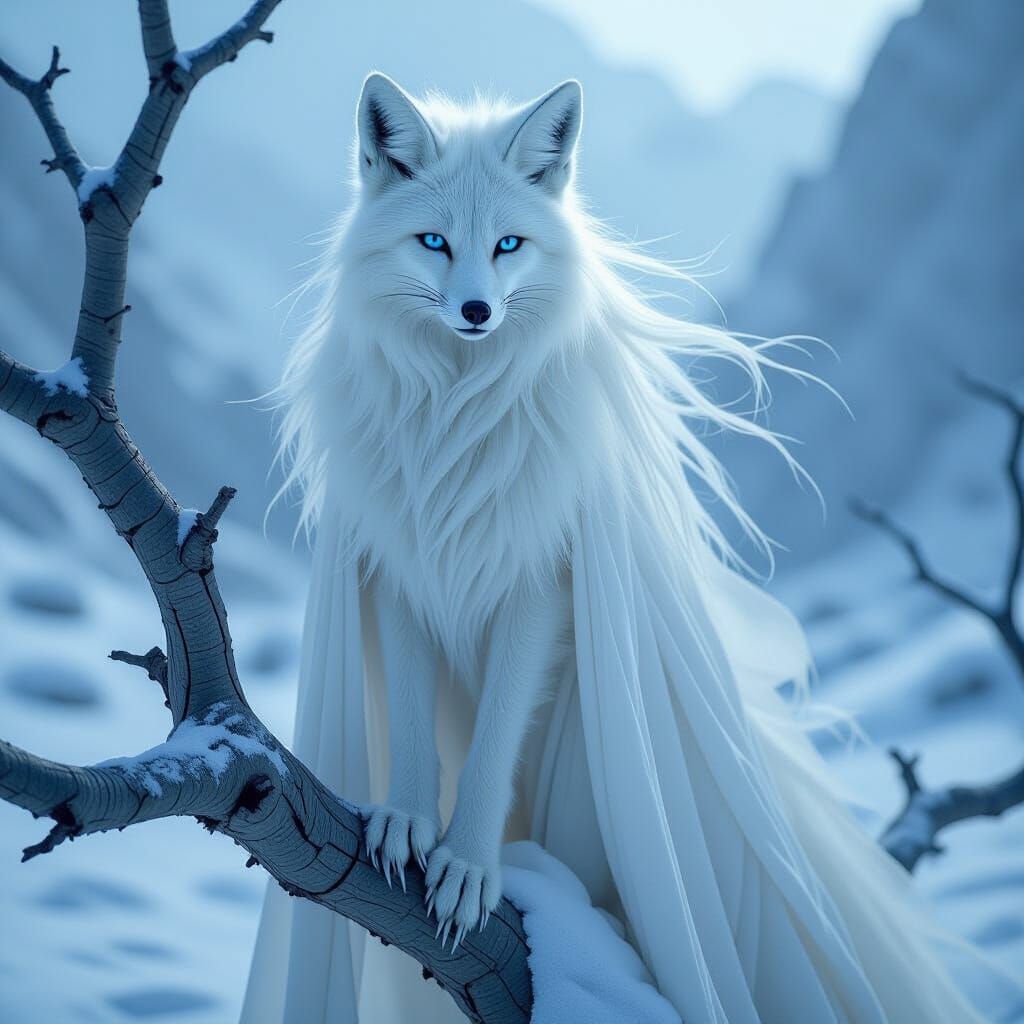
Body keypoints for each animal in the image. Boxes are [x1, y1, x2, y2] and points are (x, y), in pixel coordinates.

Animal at [253, 72, 989, 1024]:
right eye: (433, 242)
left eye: (508, 244)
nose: (477, 310)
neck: (455, 417)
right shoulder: (402, 570)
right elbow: (418, 734)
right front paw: (410, 824)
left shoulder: (541, 582)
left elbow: (491, 748)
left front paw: (470, 866)